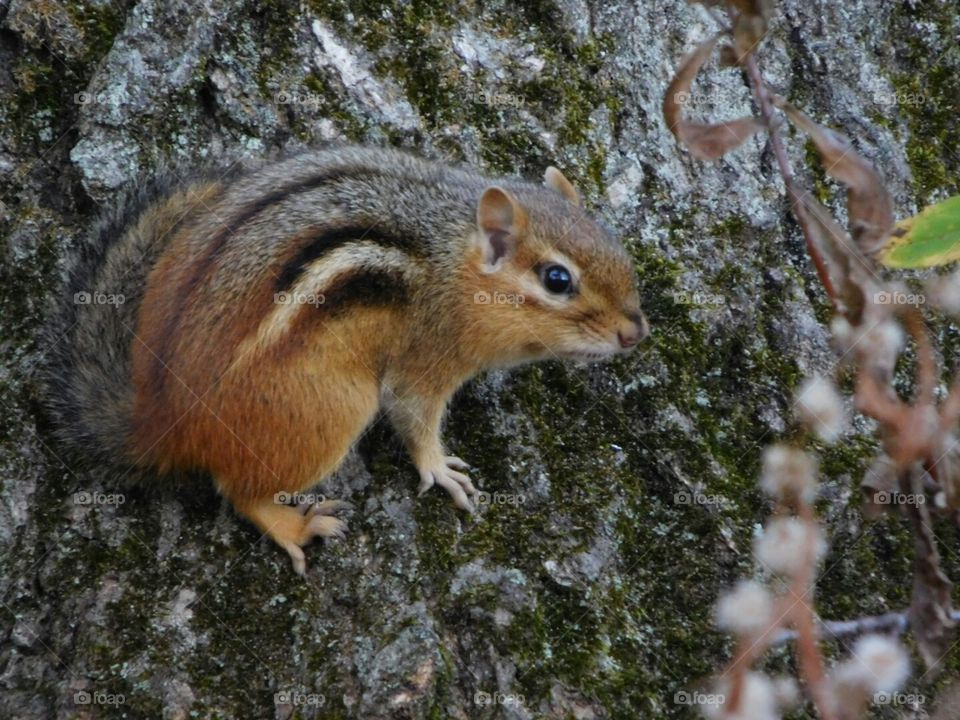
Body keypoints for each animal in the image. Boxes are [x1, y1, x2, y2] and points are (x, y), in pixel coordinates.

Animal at [45, 146, 647, 574]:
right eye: (557, 279)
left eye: (618, 249)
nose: (636, 332)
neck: (455, 261)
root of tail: (160, 415)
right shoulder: (429, 353)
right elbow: (412, 413)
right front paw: (439, 468)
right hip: (331, 410)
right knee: (240, 492)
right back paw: (293, 527)